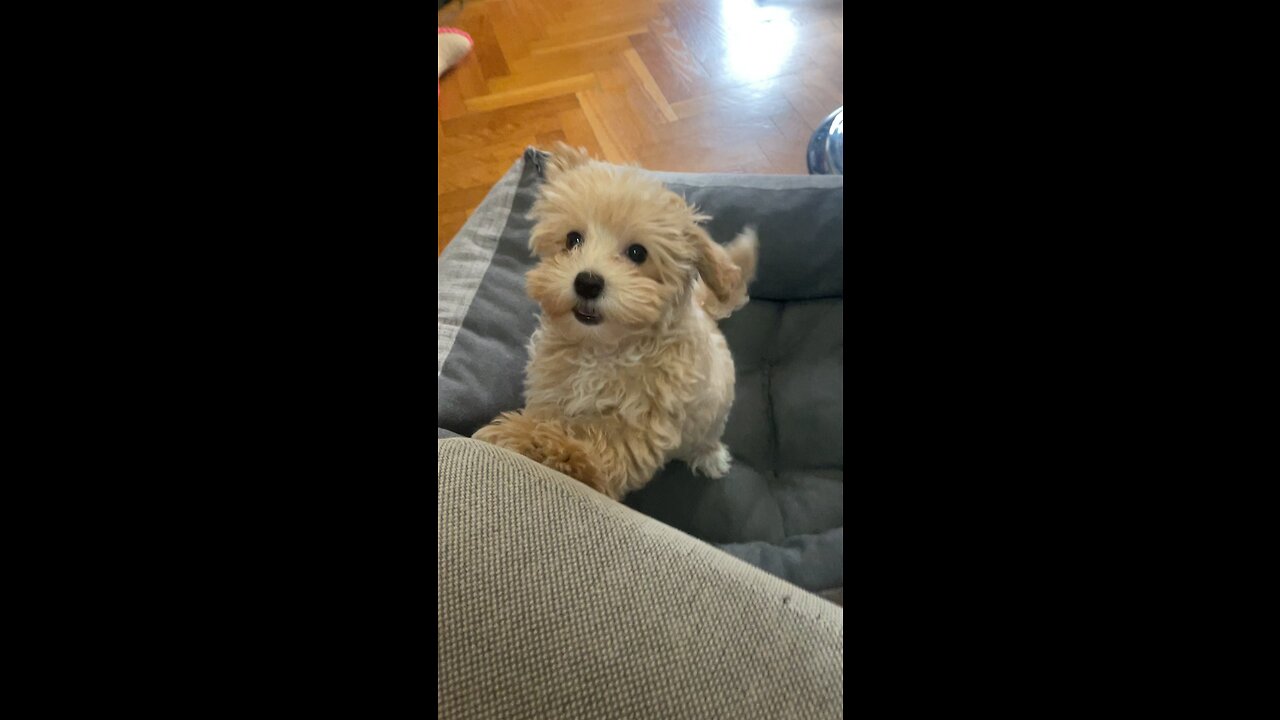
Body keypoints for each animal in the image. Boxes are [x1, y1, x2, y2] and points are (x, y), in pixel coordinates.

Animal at [473, 142, 752, 497]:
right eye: (573, 239)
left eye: (637, 253)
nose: (587, 282)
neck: (603, 349)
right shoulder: (552, 391)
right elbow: (549, 416)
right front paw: (526, 435)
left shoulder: (643, 425)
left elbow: (600, 442)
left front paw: (554, 449)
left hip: (712, 416)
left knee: (705, 440)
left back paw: (710, 457)